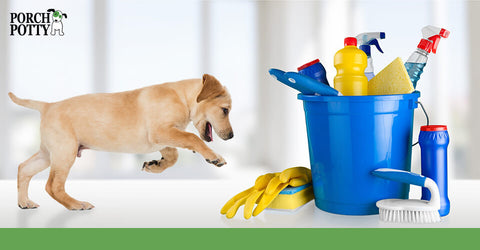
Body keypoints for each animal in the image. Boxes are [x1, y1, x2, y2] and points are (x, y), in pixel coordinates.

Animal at [7, 74, 232, 211]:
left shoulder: (163, 138)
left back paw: (24, 202)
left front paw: (154, 165)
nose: (231, 136)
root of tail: (48, 106)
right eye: (225, 110)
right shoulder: (160, 132)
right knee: (53, 185)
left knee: (23, 168)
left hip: (48, 153)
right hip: (65, 152)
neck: (181, 97)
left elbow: (174, 156)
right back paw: (76, 204)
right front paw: (214, 157)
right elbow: (191, 138)